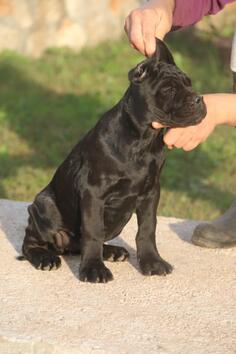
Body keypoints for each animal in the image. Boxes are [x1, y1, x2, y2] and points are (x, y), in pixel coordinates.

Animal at [20, 39, 206, 282]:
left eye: (189, 83)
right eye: (168, 89)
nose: (199, 99)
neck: (143, 139)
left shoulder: (151, 192)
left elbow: (147, 229)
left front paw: (152, 262)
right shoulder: (93, 192)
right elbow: (93, 231)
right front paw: (93, 269)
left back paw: (111, 251)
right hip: (44, 205)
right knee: (31, 242)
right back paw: (45, 258)